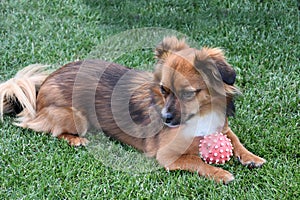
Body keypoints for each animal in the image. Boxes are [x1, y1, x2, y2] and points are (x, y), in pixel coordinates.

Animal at [0, 36, 268, 184]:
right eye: (163, 90)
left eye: (188, 94)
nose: (166, 118)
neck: (200, 115)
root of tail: (43, 85)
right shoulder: (166, 156)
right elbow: (196, 160)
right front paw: (220, 173)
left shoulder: (221, 126)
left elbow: (234, 139)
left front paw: (251, 157)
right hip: (77, 116)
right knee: (47, 128)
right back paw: (76, 140)